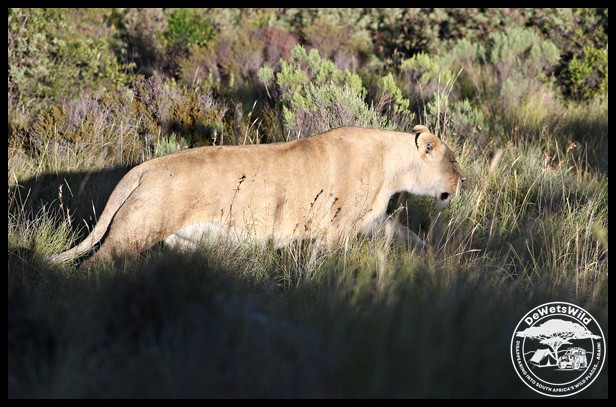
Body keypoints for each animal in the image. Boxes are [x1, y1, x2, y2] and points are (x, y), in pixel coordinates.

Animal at [48, 125, 465, 269]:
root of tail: (144, 168)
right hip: (137, 229)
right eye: (454, 161)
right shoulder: (335, 229)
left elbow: (406, 234)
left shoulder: (371, 222)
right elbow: (325, 264)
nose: (463, 181)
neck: (393, 164)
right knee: (93, 264)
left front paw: (437, 258)